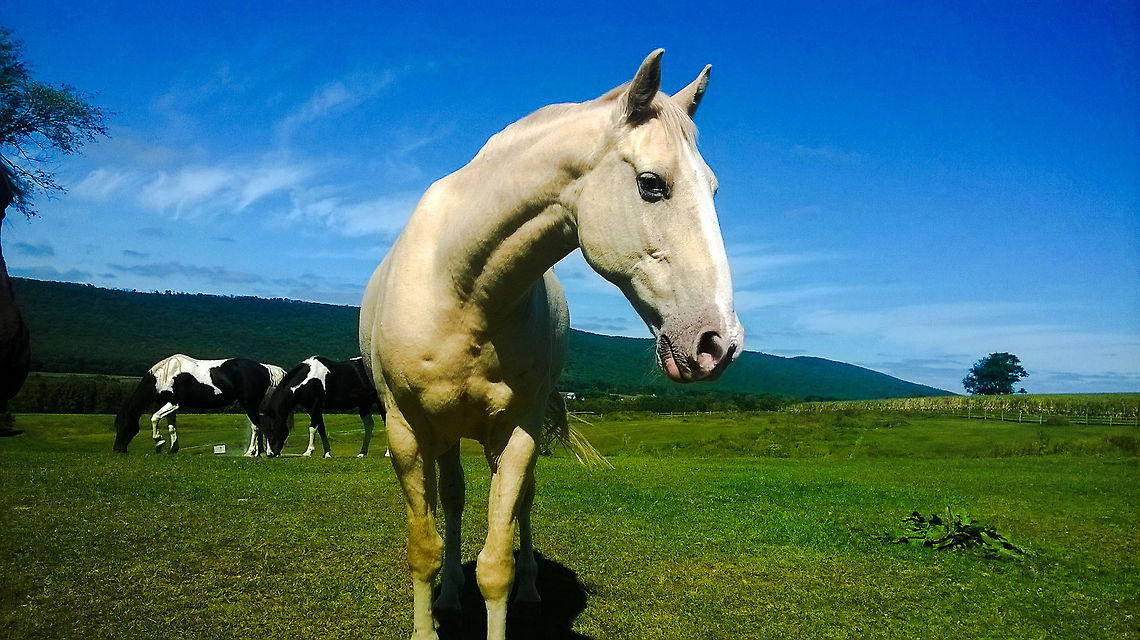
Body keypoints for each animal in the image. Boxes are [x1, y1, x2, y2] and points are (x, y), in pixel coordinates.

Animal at [113, 354, 286, 454]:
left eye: (125, 424)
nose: (117, 449)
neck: (166, 374)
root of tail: (264, 368)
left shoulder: (175, 403)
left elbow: (154, 418)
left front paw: (159, 442)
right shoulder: (170, 406)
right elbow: (171, 427)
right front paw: (172, 448)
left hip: (249, 403)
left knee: (257, 426)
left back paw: (253, 452)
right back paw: (262, 452)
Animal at [358, 50, 742, 639]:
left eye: (715, 190)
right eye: (651, 184)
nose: (718, 344)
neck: (460, 287)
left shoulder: (518, 431)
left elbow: (496, 565)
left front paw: (509, 590)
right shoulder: (404, 430)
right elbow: (423, 548)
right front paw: (429, 619)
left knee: (521, 505)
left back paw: (529, 589)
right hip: (444, 433)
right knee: (453, 498)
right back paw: (448, 596)